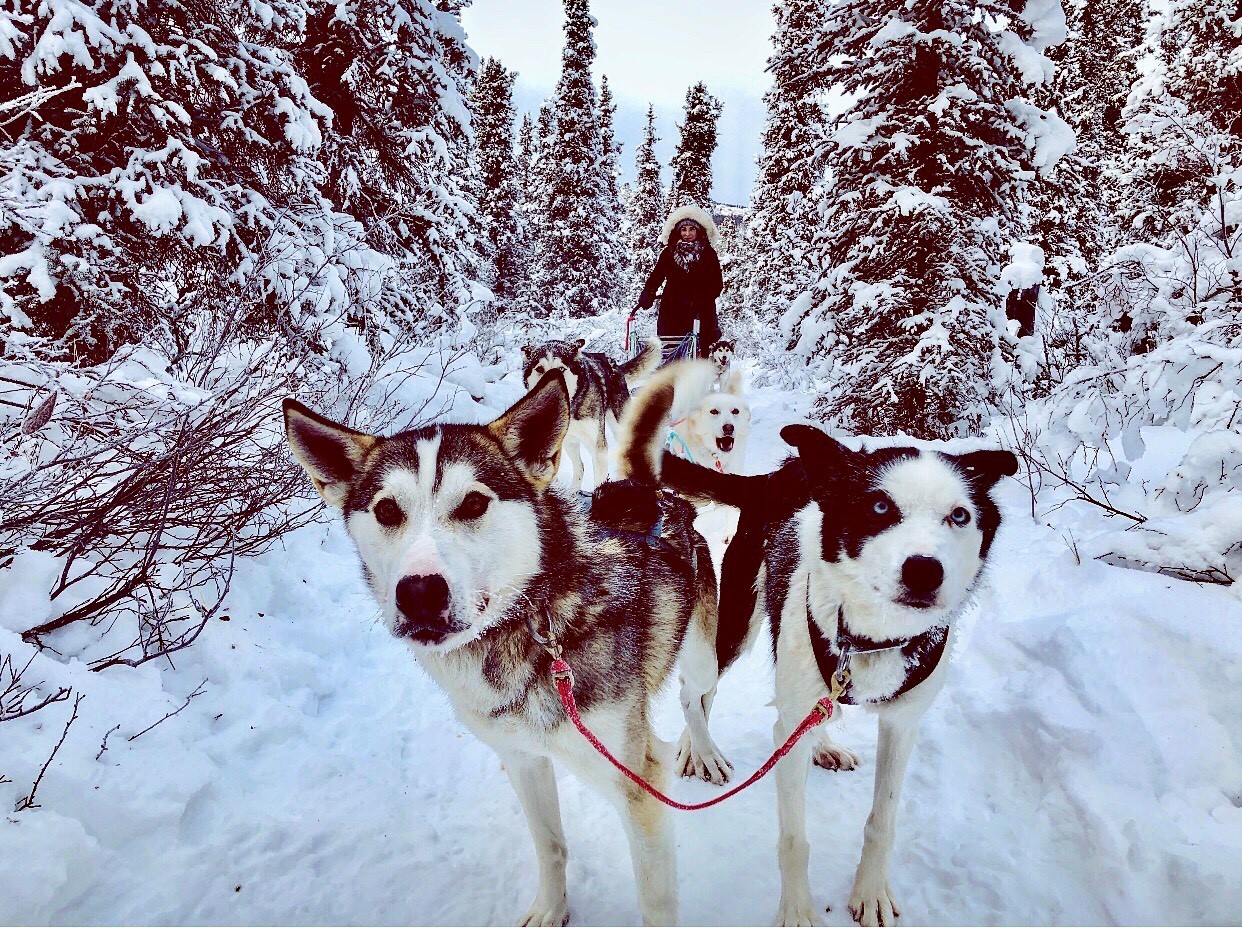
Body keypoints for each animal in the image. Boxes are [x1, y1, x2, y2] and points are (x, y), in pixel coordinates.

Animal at [283, 361, 721, 926]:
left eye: (473, 502)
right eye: (387, 511)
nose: (419, 592)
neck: (532, 628)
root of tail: (644, 493)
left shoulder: (638, 787)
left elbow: (656, 903)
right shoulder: (522, 760)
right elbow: (551, 845)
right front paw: (552, 909)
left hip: (702, 655)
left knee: (695, 696)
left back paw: (702, 749)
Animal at [521, 337, 661, 494]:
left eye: (561, 369)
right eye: (539, 369)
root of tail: (612, 363)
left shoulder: (598, 446)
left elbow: (600, 481)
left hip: (620, 426)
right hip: (570, 441)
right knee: (580, 466)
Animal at [632, 379, 1017, 925]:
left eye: (959, 515)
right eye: (879, 508)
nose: (925, 570)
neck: (871, 637)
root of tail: (778, 476)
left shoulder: (902, 727)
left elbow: (882, 820)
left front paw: (870, 891)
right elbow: (794, 840)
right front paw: (797, 910)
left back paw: (818, 743)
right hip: (737, 625)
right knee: (697, 691)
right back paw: (700, 749)